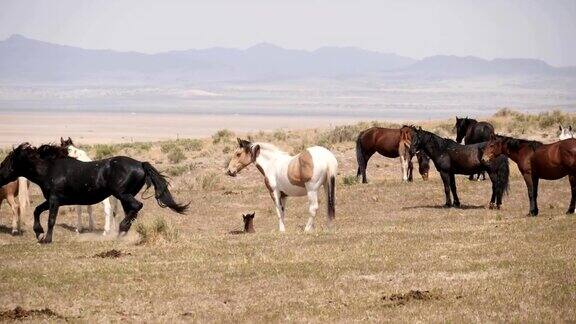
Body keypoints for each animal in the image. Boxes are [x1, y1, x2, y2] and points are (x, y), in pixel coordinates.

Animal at [0, 142, 188, 243]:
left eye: (7, 161)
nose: (0, 176)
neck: (50, 169)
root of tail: (141, 164)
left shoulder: (54, 200)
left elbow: (51, 219)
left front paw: (46, 239)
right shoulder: (52, 200)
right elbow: (37, 210)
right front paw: (39, 233)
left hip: (123, 194)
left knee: (137, 206)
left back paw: (120, 229)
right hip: (125, 196)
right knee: (131, 210)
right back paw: (121, 233)